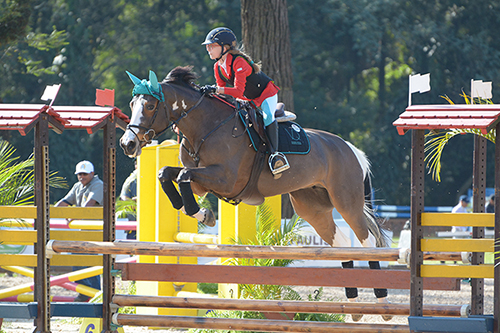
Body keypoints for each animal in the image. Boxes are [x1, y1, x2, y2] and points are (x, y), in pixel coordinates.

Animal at [119, 67, 392, 320]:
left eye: (150, 105)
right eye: (132, 104)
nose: (127, 144)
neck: (206, 127)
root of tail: (351, 149)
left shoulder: (225, 179)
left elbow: (183, 175)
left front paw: (202, 213)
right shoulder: (201, 184)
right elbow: (167, 173)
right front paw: (198, 212)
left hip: (346, 202)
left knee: (367, 243)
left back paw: (382, 304)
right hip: (312, 208)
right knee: (343, 244)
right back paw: (354, 308)